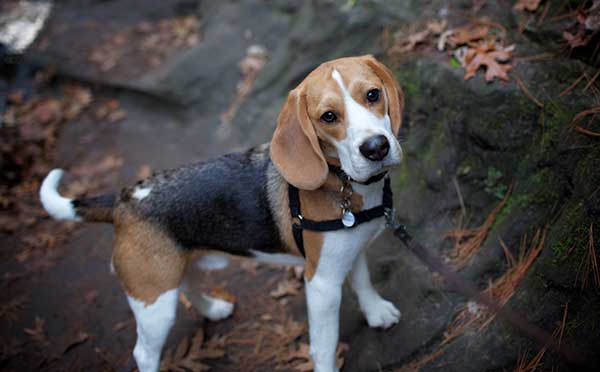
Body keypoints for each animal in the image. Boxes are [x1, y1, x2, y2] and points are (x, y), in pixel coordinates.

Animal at [39, 55, 406, 372]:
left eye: (373, 95)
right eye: (328, 116)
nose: (376, 148)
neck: (342, 181)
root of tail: (125, 198)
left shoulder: (350, 250)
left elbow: (363, 281)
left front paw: (376, 312)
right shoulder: (322, 283)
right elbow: (325, 345)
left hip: (177, 266)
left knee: (189, 284)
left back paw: (213, 309)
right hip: (154, 302)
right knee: (143, 352)